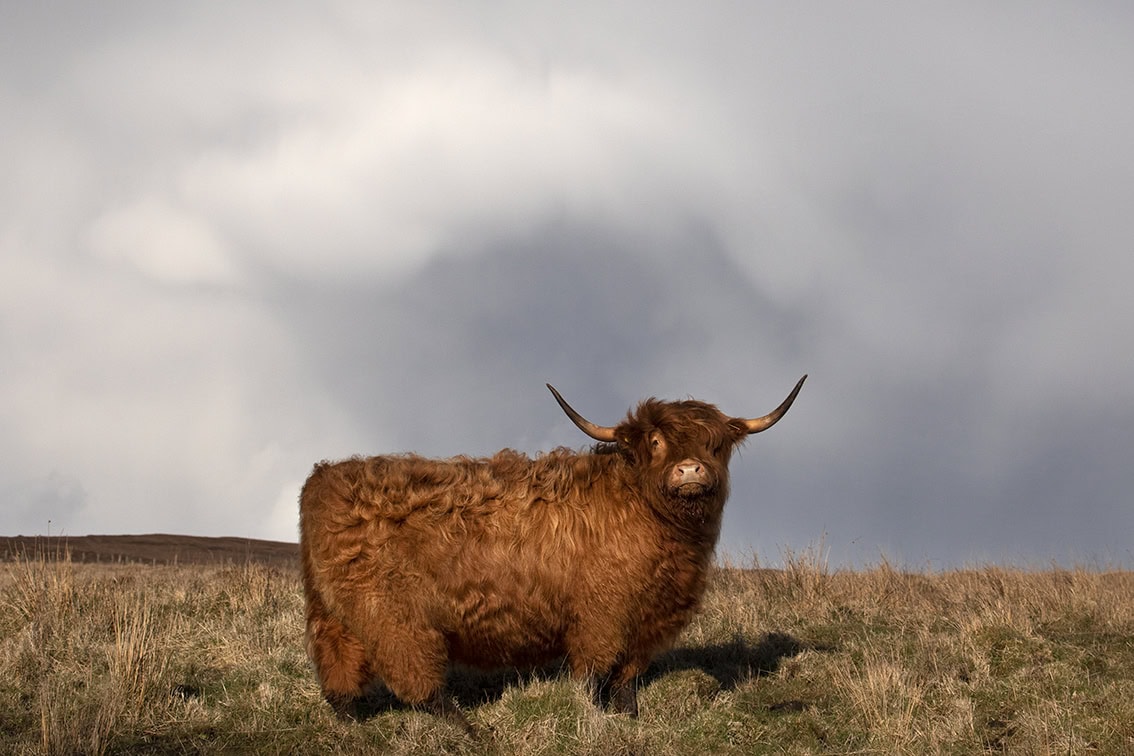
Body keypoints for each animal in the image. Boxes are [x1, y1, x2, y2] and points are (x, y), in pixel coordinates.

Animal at [297, 376, 802, 725]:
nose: (691, 469)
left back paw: (353, 725)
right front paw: (594, 716)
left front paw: (630, 718)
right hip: (391, 614)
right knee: (416, 680)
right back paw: (468, 730)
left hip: (336, 613)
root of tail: (322, 480)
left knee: (338, 673)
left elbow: (629, 675)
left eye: (715, 444)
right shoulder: (602, 613)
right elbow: (594, 673)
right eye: (657, 442)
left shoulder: (650, 618)